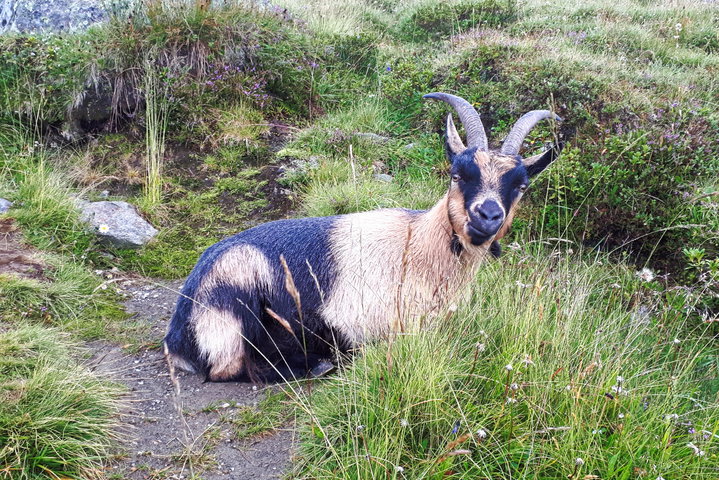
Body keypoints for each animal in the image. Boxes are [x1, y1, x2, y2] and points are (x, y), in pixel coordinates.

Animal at [164, 92, 563, 382]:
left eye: (521, 186)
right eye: (458, 174)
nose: (488, 216)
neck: (417, 244)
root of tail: (178, 335)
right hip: (237, 298)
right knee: (228, 369)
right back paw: (316, 364)